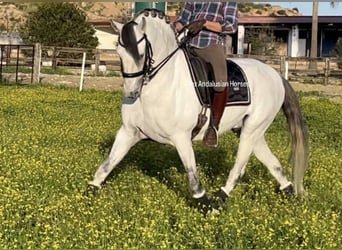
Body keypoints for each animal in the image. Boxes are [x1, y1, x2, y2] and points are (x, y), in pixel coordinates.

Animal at [87, 9, 308, 212]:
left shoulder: (181, 137)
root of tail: (276, 76)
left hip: (252, 129)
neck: (162, 83)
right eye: (119, 52)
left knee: (239, 165)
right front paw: (89, 193)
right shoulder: (128, 132)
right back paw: (290, 192)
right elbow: (106, 166)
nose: (132, 92)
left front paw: (205, 206)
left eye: (141, 54)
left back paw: (221, 198)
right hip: (250, 130)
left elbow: (192, 176)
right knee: (271, 161)